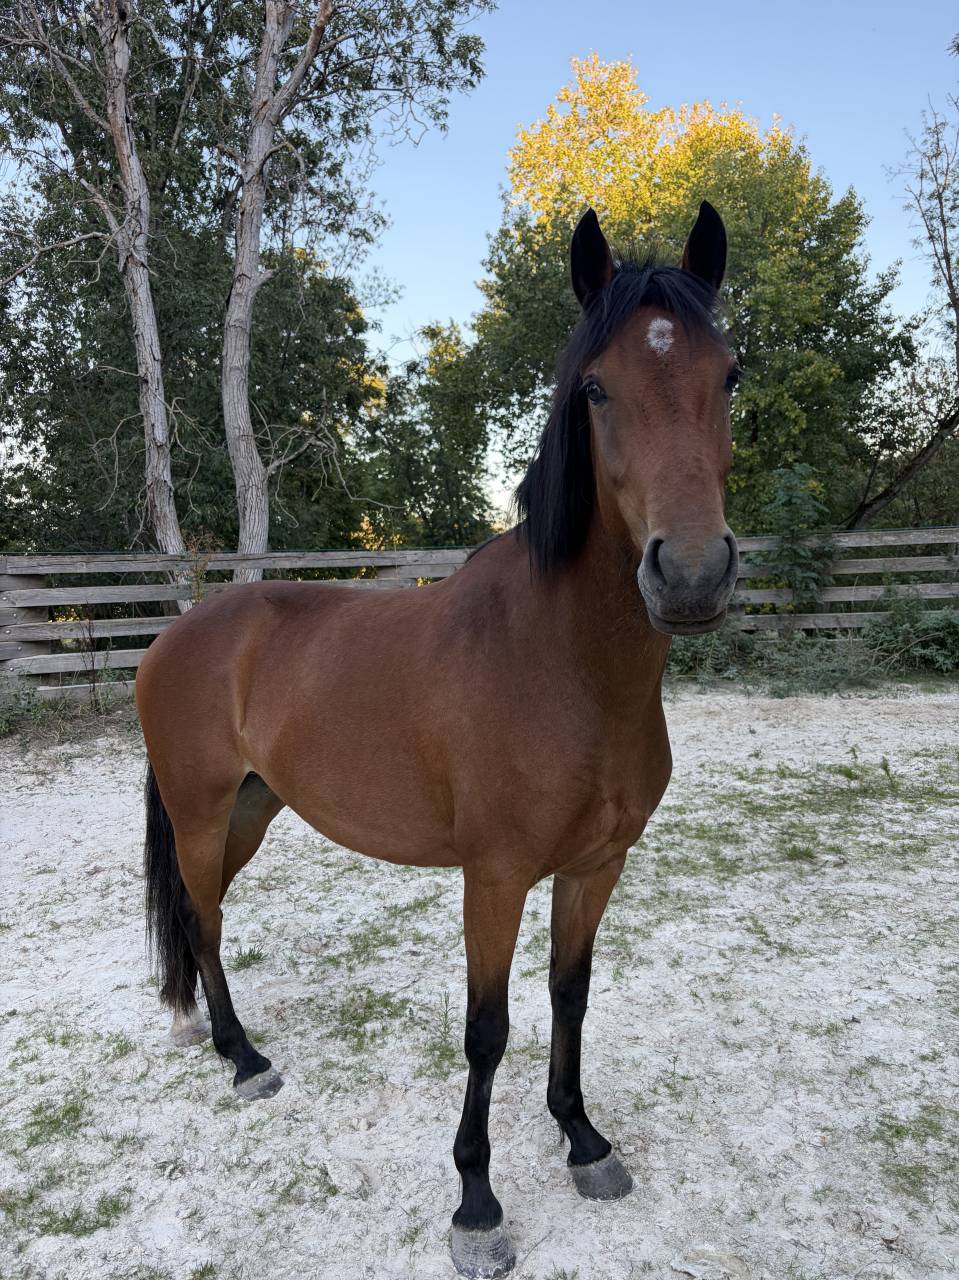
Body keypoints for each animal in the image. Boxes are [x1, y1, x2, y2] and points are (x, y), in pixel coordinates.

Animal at [135, 200, 740, 1279]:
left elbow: (569, 995)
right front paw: (476, 1203)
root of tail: (179, 633)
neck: (563, 664)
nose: (691, 573)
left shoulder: (595, 866)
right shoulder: (492, 877)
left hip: (250, 808)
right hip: (201, 811)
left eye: (730, 375)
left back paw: (217, 1038)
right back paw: (244, 1059)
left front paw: (582, 1140)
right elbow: (486, 1028)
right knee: (202, 920)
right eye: (595, 387)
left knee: (206, 920)